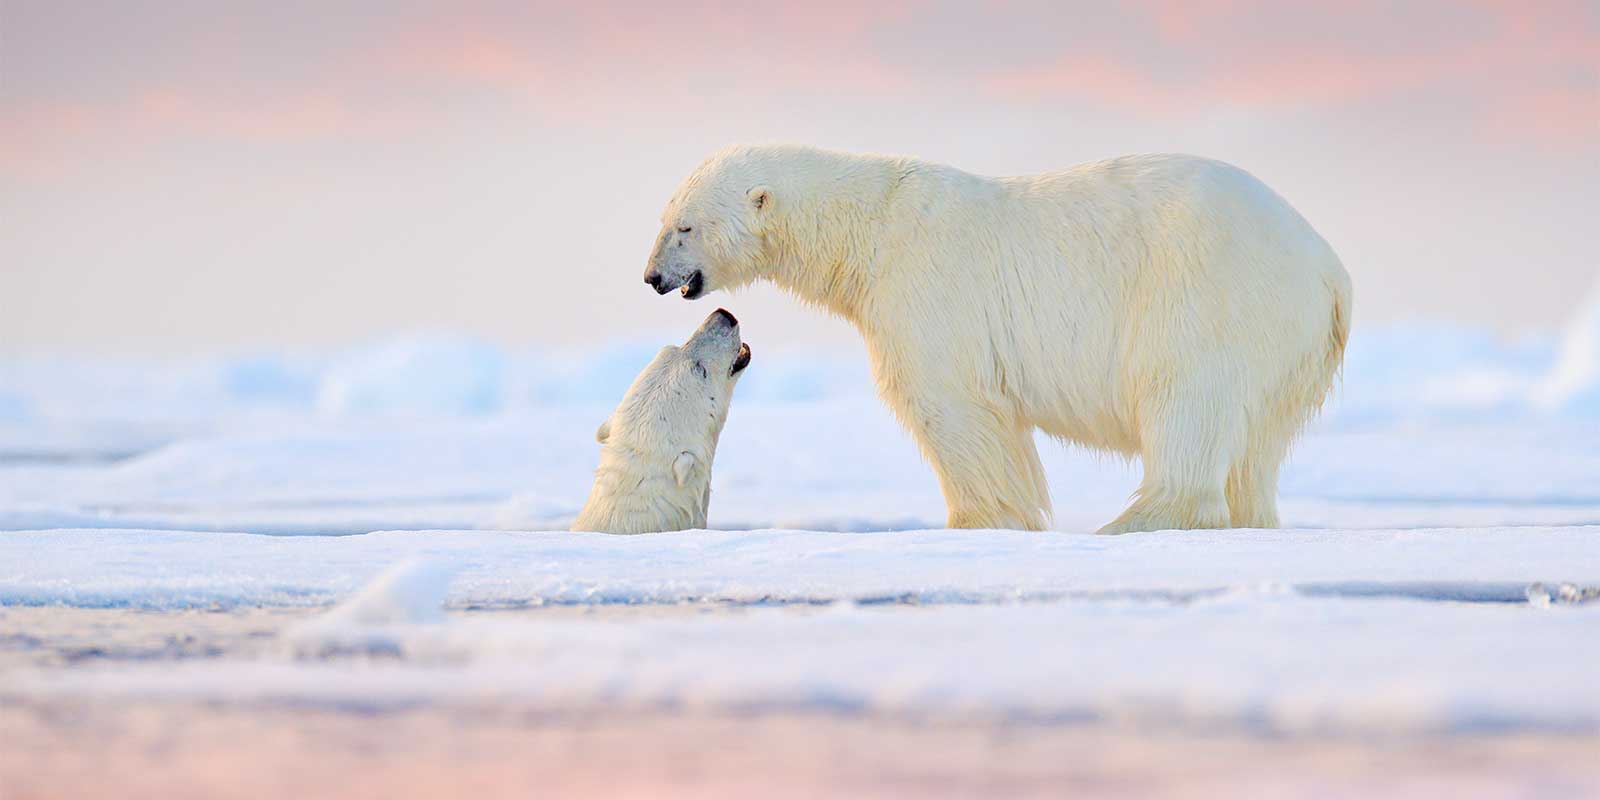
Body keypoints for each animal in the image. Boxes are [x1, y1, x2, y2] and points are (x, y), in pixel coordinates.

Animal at [643, 144, 1351, 533]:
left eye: (685, 227)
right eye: (667, 219)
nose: (652, 277)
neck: (869, 228)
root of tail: (1328, 269)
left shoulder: (924, 286)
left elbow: (949, 405)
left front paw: (980, 520)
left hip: (1208, 293)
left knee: (1185, 397)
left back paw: (1133, 520)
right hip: (1291, 348)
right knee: (1256, 444)